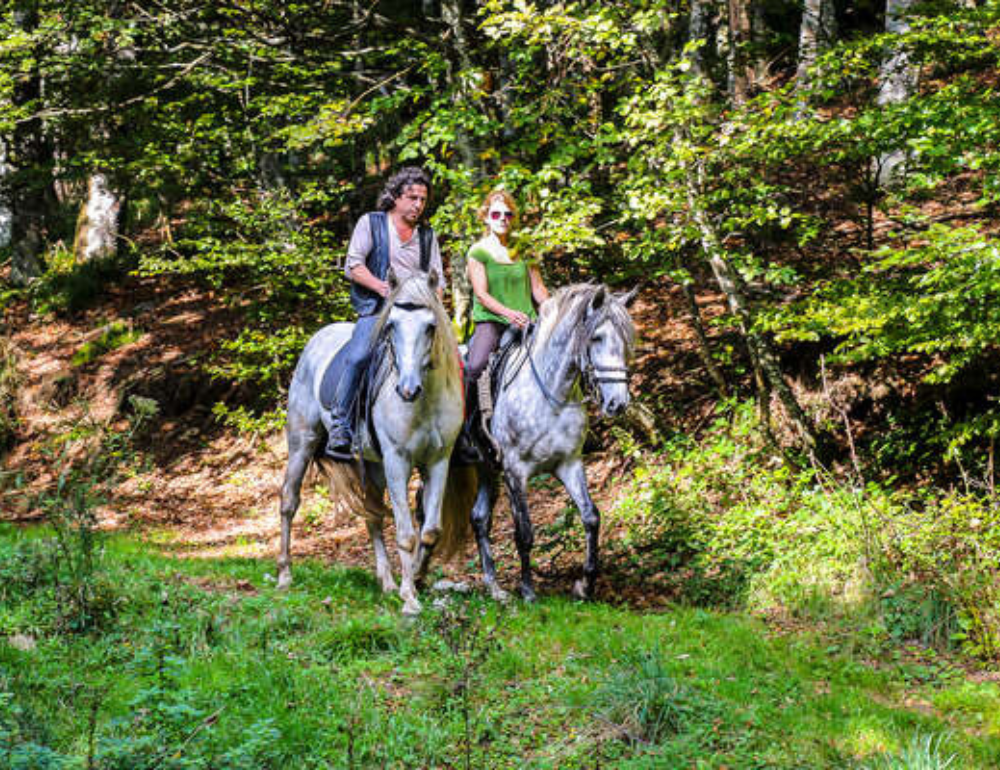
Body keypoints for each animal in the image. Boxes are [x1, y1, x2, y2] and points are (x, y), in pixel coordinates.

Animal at [276, 270, 466, 612]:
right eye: (391, 326)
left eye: (430, 327)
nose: (407, 390)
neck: (426, 400)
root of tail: (318, 338)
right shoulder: (397, 461)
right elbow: (406, 533)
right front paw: (410, 598)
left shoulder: (438, 461)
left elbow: (430, 531)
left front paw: (416, 578)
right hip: (302, 443)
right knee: (289, 501)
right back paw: (284, 574)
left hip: (373, 465)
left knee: (374, 515)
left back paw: (387, 581)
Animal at [466, 282, 632, 600]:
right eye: (596, 337)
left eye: (626, 340)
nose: (617, 403)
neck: (551, 393)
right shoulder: (515, 472)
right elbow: (525, 532)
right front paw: (528, 591)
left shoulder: (568, 464)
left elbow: (591, 517)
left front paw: (584, 585)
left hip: (485, 468)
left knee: (479, 518)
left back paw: (494, 588)